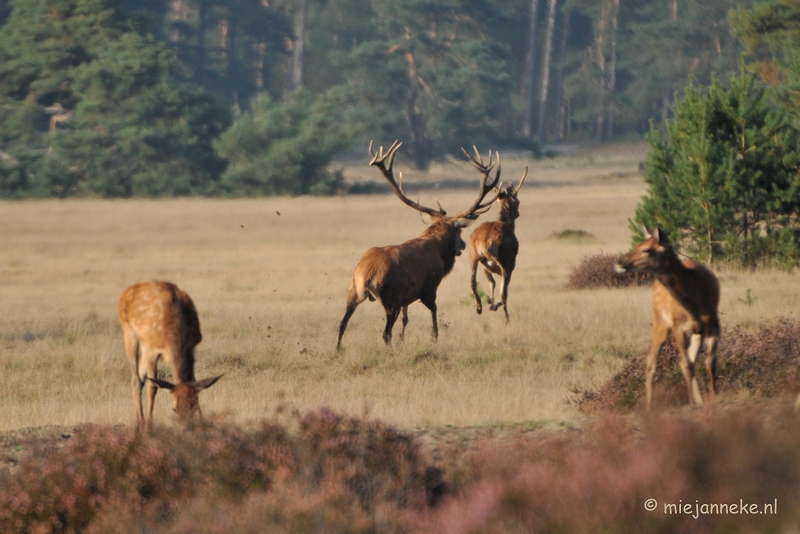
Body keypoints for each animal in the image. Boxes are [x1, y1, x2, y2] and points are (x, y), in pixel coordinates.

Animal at [117, 280, 222, 432]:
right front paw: (150, 426)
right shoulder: (152, 350)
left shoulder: (193, 346)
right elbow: (152, 387)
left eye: (193, 405)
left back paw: (136, 422)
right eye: (174, 409)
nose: (186, 427)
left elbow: (194, 381)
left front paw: (202, 423)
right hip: (129, 334)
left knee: (138, 378)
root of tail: (127, 291)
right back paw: (141, 423)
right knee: (136, 379)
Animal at [336, 140, 500, 350]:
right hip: (391, 296)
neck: (439, 253)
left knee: (342, 324)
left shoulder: (407, 298)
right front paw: (434, 338)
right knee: (385, 333)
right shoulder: (429, 286)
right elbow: (434, 312)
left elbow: (406, 320)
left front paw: (403, 338)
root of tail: (366, 275)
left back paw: (338, 350)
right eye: (459, 231)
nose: (463, 245)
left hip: (353, 292)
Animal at [466, 144, 528, 324]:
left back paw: (480, 307)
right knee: (504, 291)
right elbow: (500, 287)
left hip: (473, 256)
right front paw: (494, 303)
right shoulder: (510, 262)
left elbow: (491, 283)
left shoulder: (484, 266)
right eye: (518, 201)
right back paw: (505, 316)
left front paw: (490, 301)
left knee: (473, 282)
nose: (517, 213)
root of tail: (486, 244)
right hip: (506, 260)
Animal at [616, 229, 720, 410]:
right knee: (652, 363)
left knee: (688, 360)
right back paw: (649, 407)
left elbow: (710, 363)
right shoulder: (677, 326)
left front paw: (713, 396)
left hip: (695, 332)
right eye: (638, 244)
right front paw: (691, 403)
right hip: (660, 321)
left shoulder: (714, 324)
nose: (619, 262)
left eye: (646, 249)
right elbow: (687, 365)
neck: (695, 306)